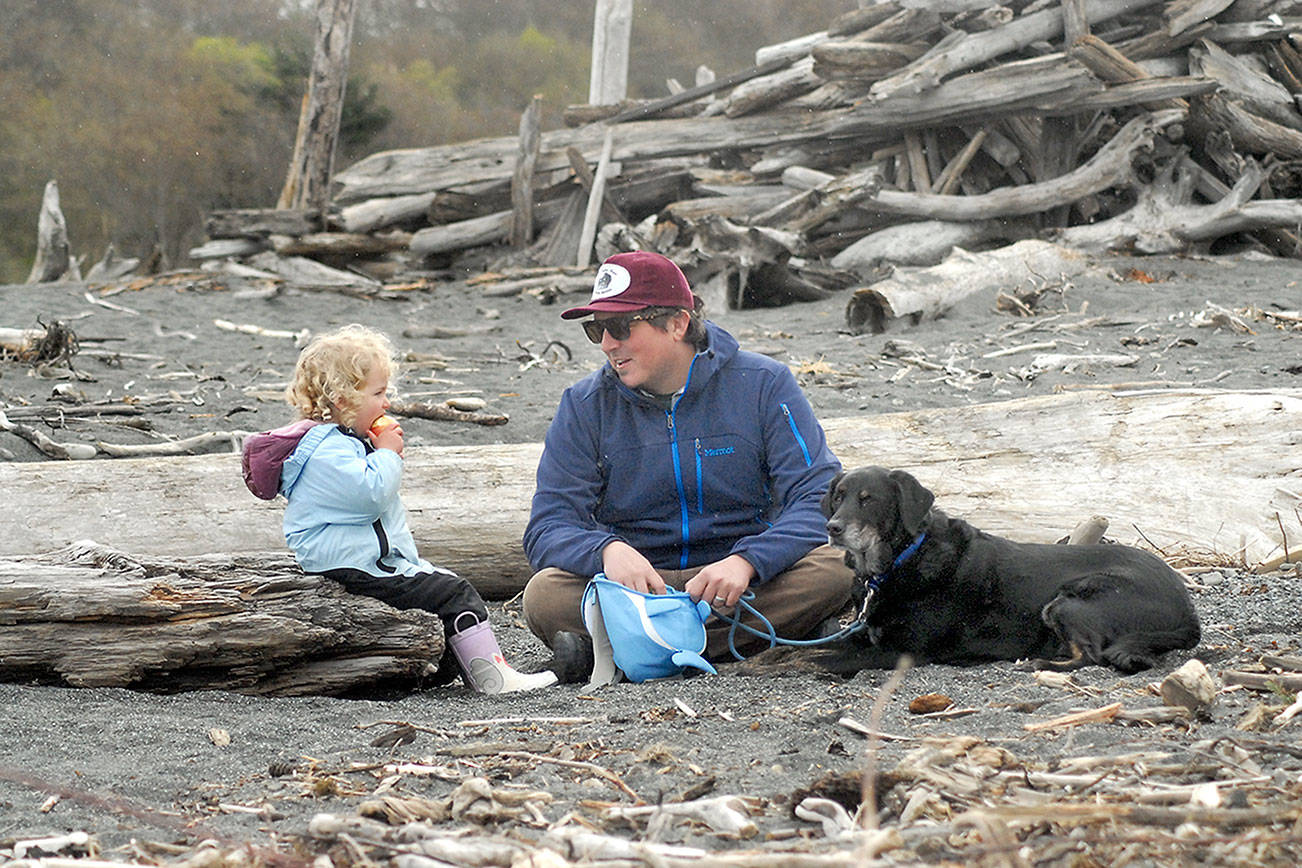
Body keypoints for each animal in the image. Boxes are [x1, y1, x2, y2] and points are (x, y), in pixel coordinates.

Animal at [817, 465, 1203, 676]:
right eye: (838, 496)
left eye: (868, 499)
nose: (833, 528)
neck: (900, 560)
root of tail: (1187, 609)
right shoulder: (865, 636)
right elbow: (811, 649)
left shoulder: (900, 652)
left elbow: (816, 659)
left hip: (1069, 600)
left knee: (1092, 655)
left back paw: (1042, 665)